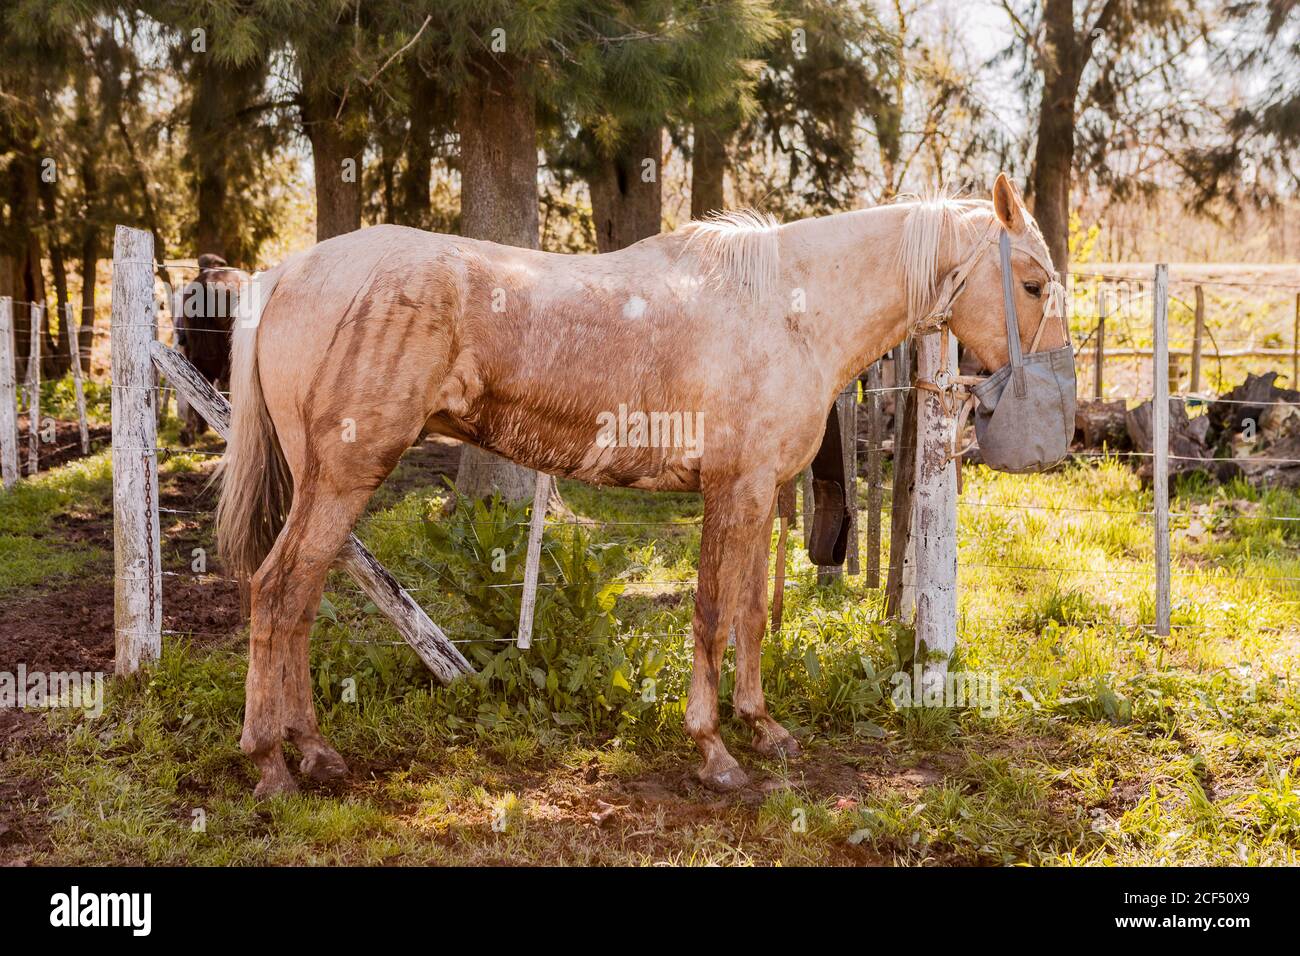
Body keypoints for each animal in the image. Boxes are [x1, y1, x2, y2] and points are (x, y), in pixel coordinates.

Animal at [215, 174, 1072, 798]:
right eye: (1033, 284)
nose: (1060, 416)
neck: (787, 308)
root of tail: (290, 271)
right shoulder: (734, 491)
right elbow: (710, 617)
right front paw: (715, 753)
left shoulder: (757, 494)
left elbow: (749, 617)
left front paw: (764, 730)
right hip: (342, 478)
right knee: (279, 591)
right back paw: (272, 765)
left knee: (298, 600)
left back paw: (315, 752)